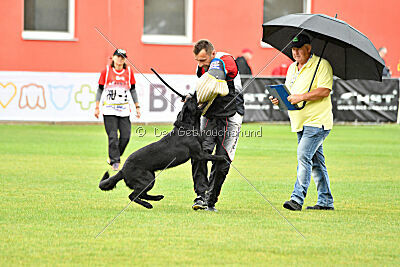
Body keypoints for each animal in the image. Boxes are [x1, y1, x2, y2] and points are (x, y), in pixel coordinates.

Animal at [99, 94, 227, 209]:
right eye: (191, 100)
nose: (192, 93)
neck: (187, 127)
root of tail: (123, 170)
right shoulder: (199, 155)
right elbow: (214, 156)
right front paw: (224, 158)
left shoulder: (201, 152)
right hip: (147, 180)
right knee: (133, 196)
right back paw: (148, 204)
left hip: (151, 177)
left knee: (141, 194)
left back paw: (157, 198)